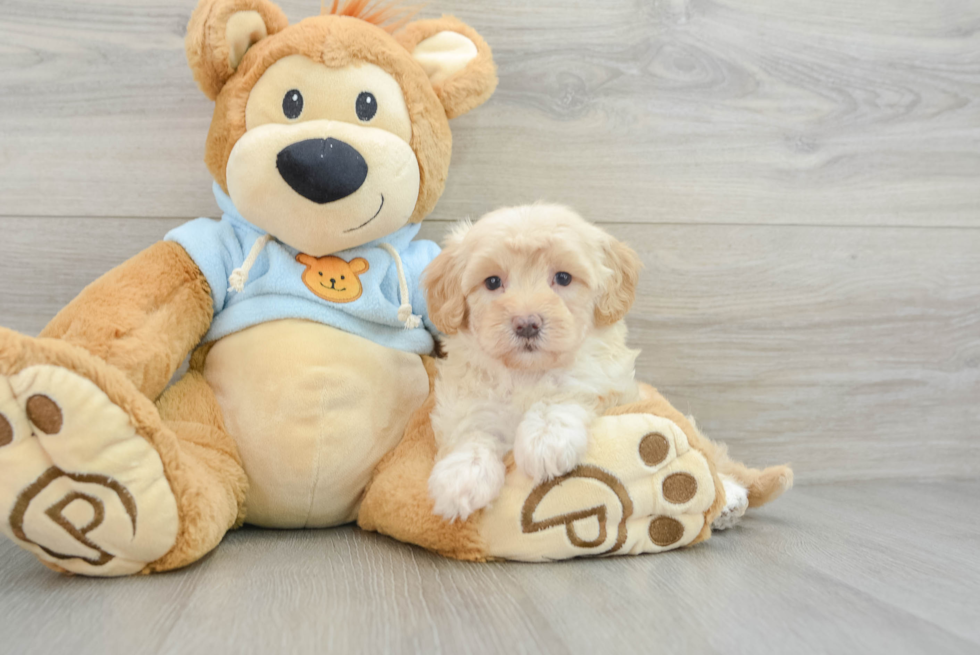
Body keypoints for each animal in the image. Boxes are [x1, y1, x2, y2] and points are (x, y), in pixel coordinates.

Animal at [422, 205, 644, 524]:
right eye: (492, 282)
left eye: (563, 278)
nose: (526, 323)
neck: (526, 373)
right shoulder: (467, 400)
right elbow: (472, 431)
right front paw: (463, 474)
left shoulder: (605, 381)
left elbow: (561, 394)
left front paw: (545, 439)